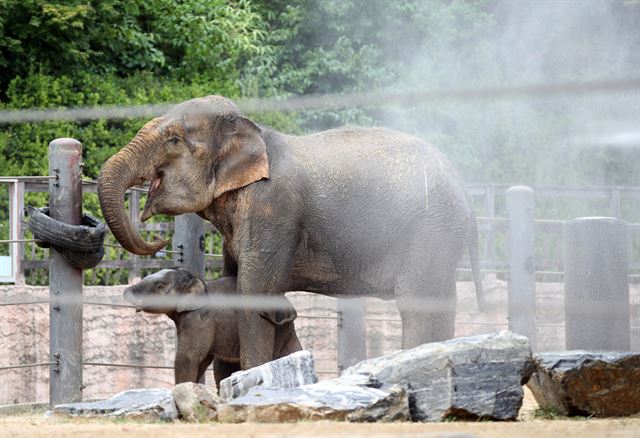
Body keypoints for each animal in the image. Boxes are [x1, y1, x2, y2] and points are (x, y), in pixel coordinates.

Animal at [97, 95, 482, 370]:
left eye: (174, 140)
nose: (158, 238)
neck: (254, 131)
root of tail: (464, 186)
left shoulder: (273, 208)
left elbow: (254, 293)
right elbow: (235, 283)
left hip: (431, 231)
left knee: (418, 304)